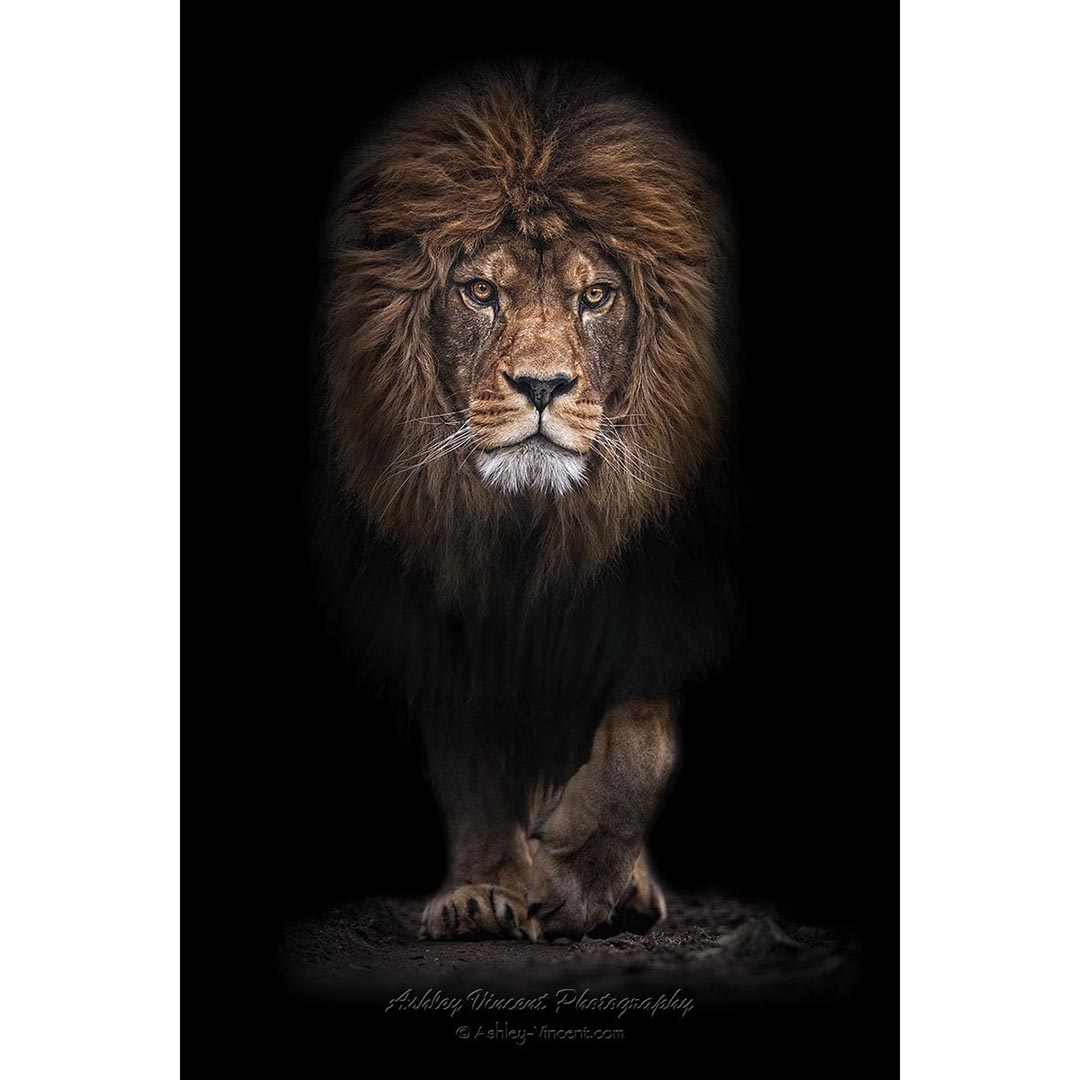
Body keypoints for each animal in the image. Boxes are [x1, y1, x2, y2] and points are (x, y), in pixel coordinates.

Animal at [311, 62, 739, 942]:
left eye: (597, 297)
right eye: (479, 292)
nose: (544, 386)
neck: (527, 528)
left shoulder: (660, 588)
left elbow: (642, 745)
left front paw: (575, 881)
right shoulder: (434, 606)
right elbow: (469, 761)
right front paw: (483, 893)